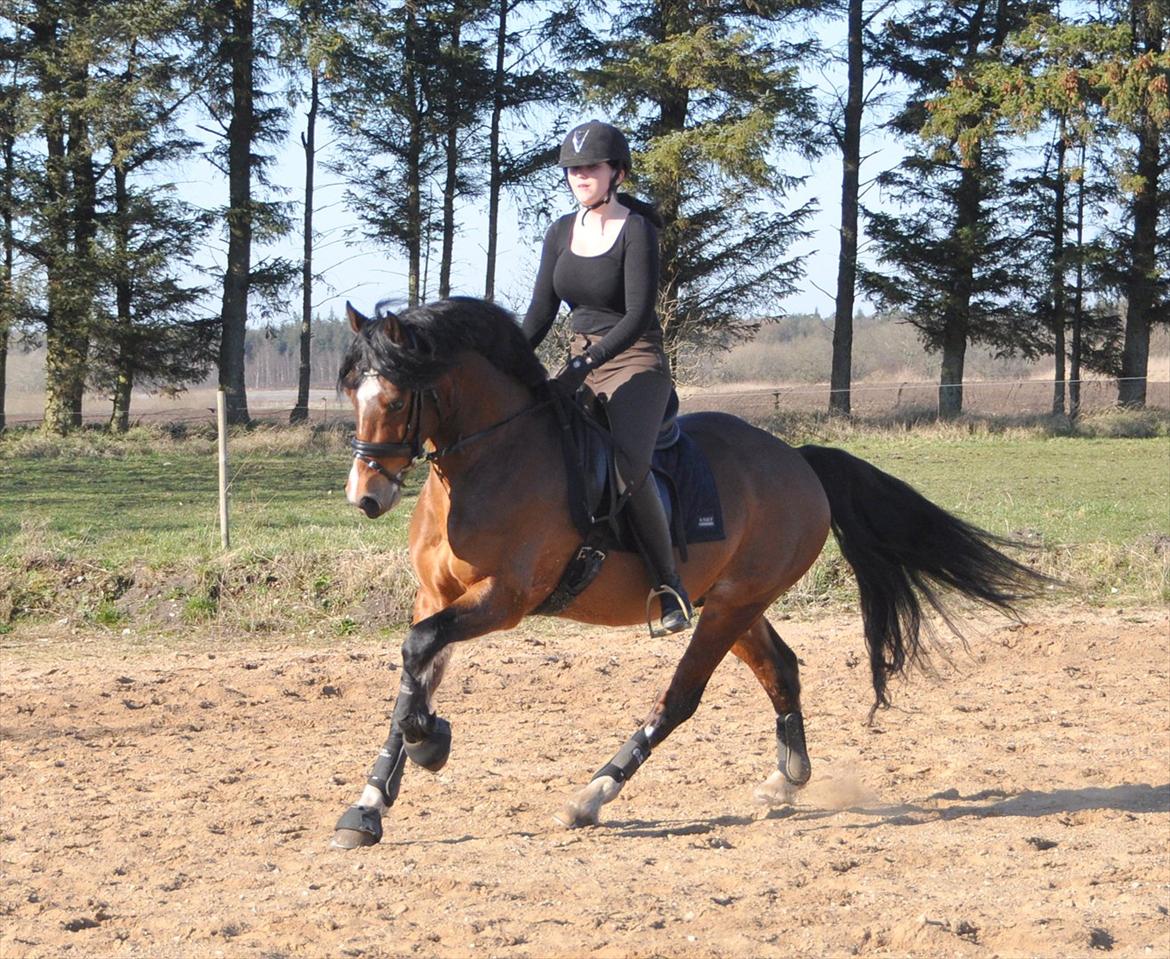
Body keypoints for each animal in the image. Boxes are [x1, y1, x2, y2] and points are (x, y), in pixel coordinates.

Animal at [327, 298, 1043, 846]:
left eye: (397, 399)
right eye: (352, 392)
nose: (365, 497)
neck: (486, 460)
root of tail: (800, 462)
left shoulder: (505, 598)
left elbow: (418, 654)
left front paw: (429, 744)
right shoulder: (436, 594)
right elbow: (413, 672)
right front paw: (373, 801)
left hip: (728, 608)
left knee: (680, 699)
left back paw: (593, 795)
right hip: (735, 601)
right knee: (781, 669)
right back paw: (788, 777)